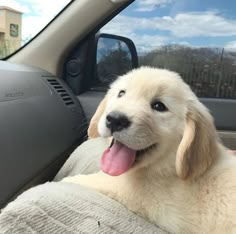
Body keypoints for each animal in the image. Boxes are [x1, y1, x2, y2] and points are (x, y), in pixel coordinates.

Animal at [62, 66, 236, 233]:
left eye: (159, 106)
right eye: (121, 93)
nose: (115, 119)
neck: (167, 167)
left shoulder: (130, 193)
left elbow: (92, 180)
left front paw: (67, 180)